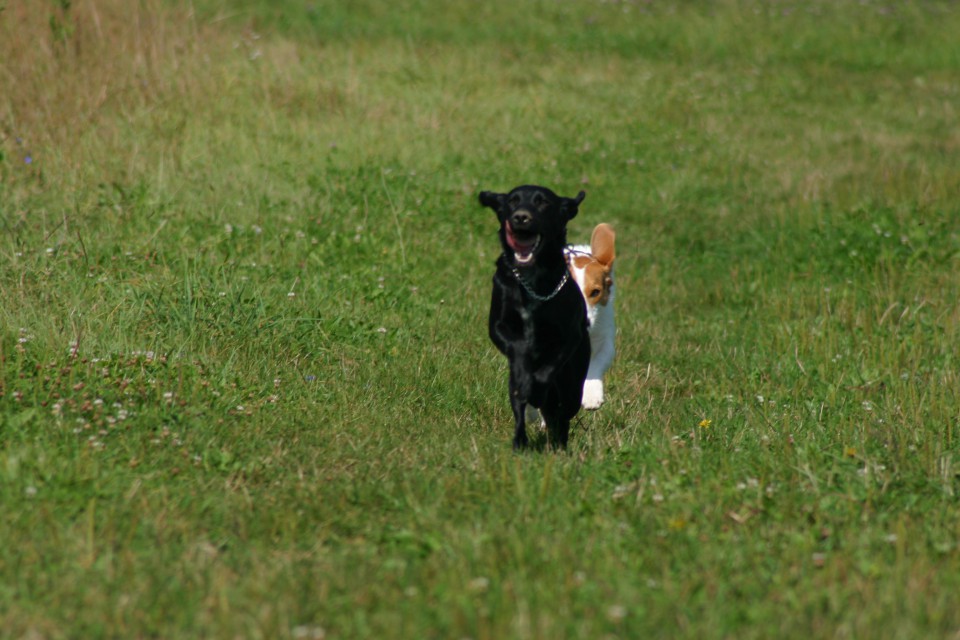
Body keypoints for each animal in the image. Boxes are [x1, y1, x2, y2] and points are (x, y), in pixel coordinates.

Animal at [478, 184, 588, 450]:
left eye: (543, 202)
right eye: (512, 201)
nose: (520, 217)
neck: (531, 279)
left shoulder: (570, 335)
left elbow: (552, 362)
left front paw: (538, 383)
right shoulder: (499, 325)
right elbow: (517, 347)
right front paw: (526, 371)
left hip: (573, 385)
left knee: (563, 414)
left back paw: (559, 444)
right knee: (523, 406)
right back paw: (520, 441)